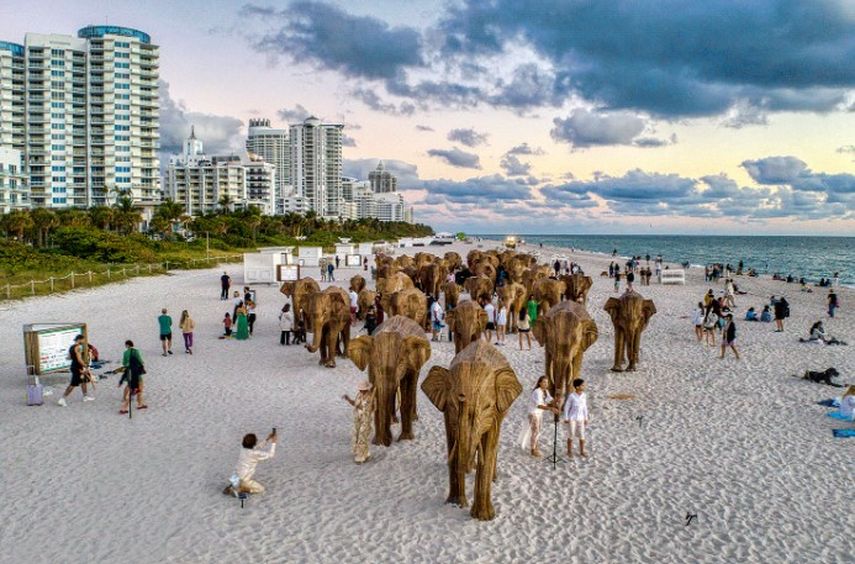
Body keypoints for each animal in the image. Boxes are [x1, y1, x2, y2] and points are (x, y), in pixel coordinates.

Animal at [348, 315, 431, 446]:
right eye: (374, 362)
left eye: (401, 362)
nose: (386, 443)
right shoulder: (372, 368)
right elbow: (377, 392)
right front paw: (378, 443)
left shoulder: (410, 364)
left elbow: (406, 392)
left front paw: (405, 439)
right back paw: (393, 421)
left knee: (412, 387)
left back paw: (413, 418)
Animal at [421, 340, 523, 521]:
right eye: (453, 405)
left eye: (487, 406)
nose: (462, 396)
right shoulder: (447, 412)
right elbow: (452, 439)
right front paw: (455, 505)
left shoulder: (495, 412)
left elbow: (489, 445)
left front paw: (483, 518)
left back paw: (492, 478)